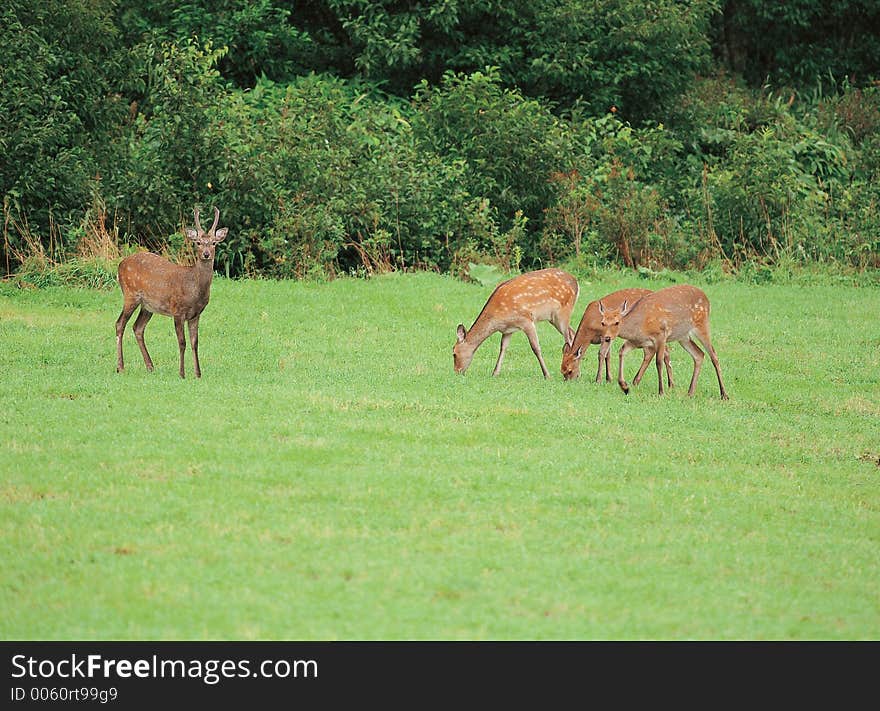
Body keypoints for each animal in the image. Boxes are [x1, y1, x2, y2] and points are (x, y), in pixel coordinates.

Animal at [113, 209, 229, 382]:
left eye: (214, 243)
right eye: (198, 242)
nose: (206, 254)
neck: (194, 289)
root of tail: (120, 264)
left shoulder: (196, 314)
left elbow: (195, 342)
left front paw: (198, 374)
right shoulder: (178, 311)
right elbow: (182, 342)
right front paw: (182, 373)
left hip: (148, 306)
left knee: (138, 327)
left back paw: (150, 366)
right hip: (130, 294)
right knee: (120, 323)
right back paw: (120, 367)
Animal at [596, 286, 732, 404]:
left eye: (617, 322)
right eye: (602, 322)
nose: (607, 338)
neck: (640, 326)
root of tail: (707, 299)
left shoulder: (661, 335)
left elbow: (659, 362)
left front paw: (661, 392)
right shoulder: (638, 341)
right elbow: (622, 351)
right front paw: (624, 387)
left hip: (702, 324)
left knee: (714, 355)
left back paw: (724, 394)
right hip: (683, 336)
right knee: (699, 354)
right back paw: (690, 392)